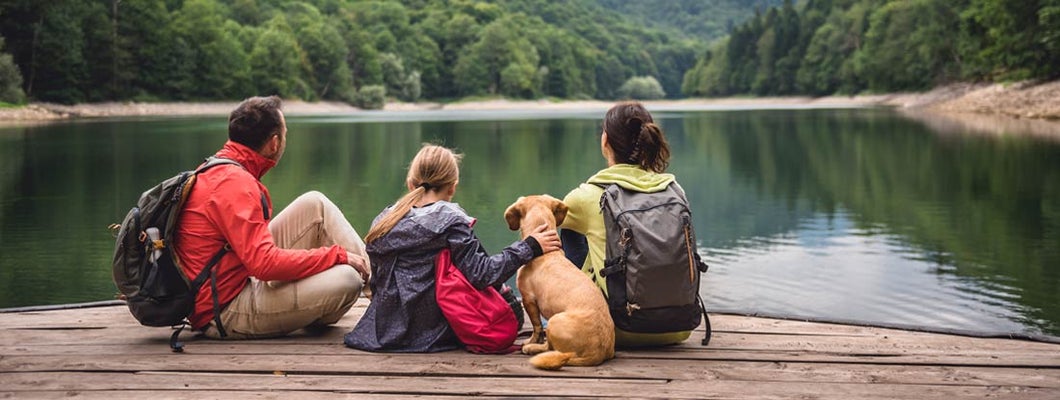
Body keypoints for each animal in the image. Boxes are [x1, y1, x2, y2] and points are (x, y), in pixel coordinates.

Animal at [502, 195, 619, 369]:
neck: (547, 252)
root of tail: (597, 353)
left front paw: (530, 341)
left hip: (554, 321)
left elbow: (536, 326)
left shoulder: (528, 299)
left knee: (549, 347)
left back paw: (531, 348)